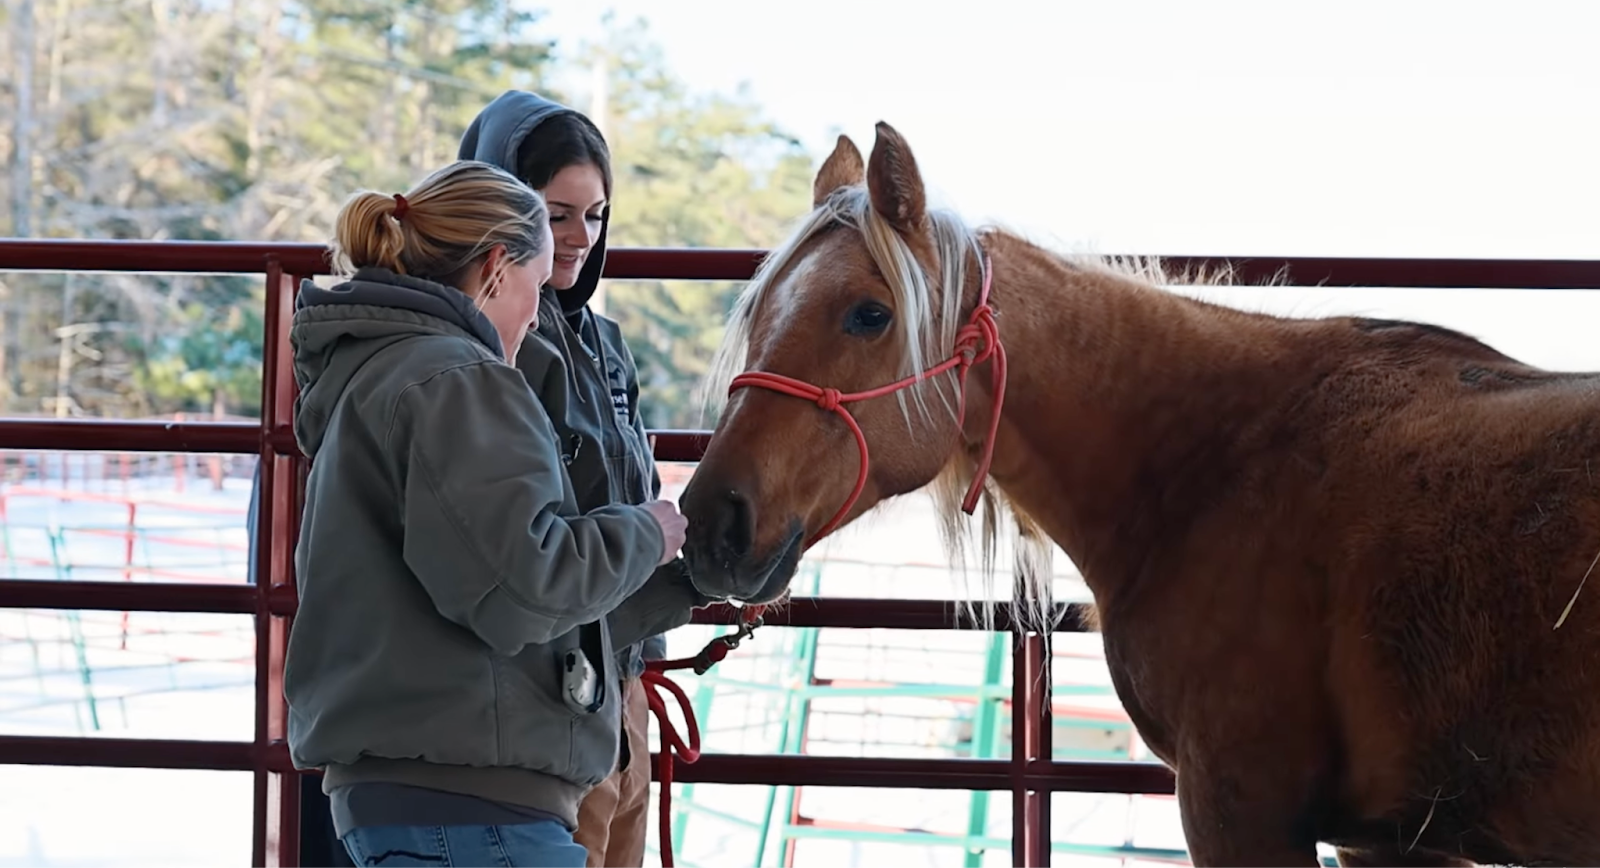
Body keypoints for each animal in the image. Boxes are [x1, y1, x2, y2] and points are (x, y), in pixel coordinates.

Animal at [678, 120, 1600, 868]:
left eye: (869, 314)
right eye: (758, 311)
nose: (710, 521)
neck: (1216, 457)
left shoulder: (1242, 812)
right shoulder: (1392, 841)